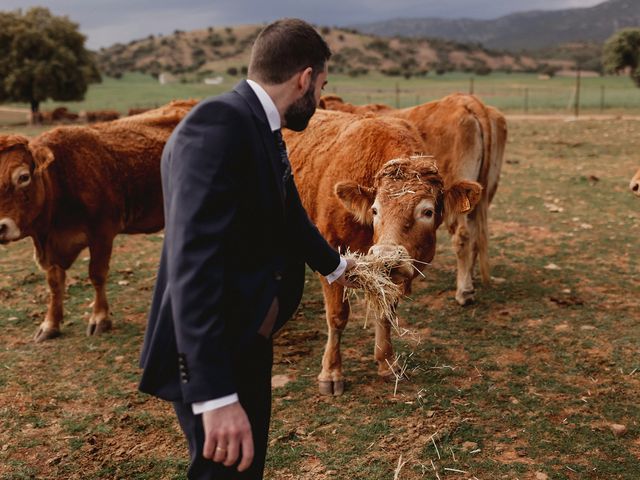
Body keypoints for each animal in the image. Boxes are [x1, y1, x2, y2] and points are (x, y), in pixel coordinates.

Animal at [0, 100, 195, 342]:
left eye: (23, 177)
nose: (1, 227)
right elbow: (54, 284)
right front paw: (50, 324)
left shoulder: (102, 234)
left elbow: (97, 274)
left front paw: (100, 318)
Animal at [284, 110, 480, 396]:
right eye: (374, 210)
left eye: (427, 211)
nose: (387, 256)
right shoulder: (330, 257)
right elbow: (337, 317)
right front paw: (331, 372)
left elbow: (386, 313)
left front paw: (387, 363)